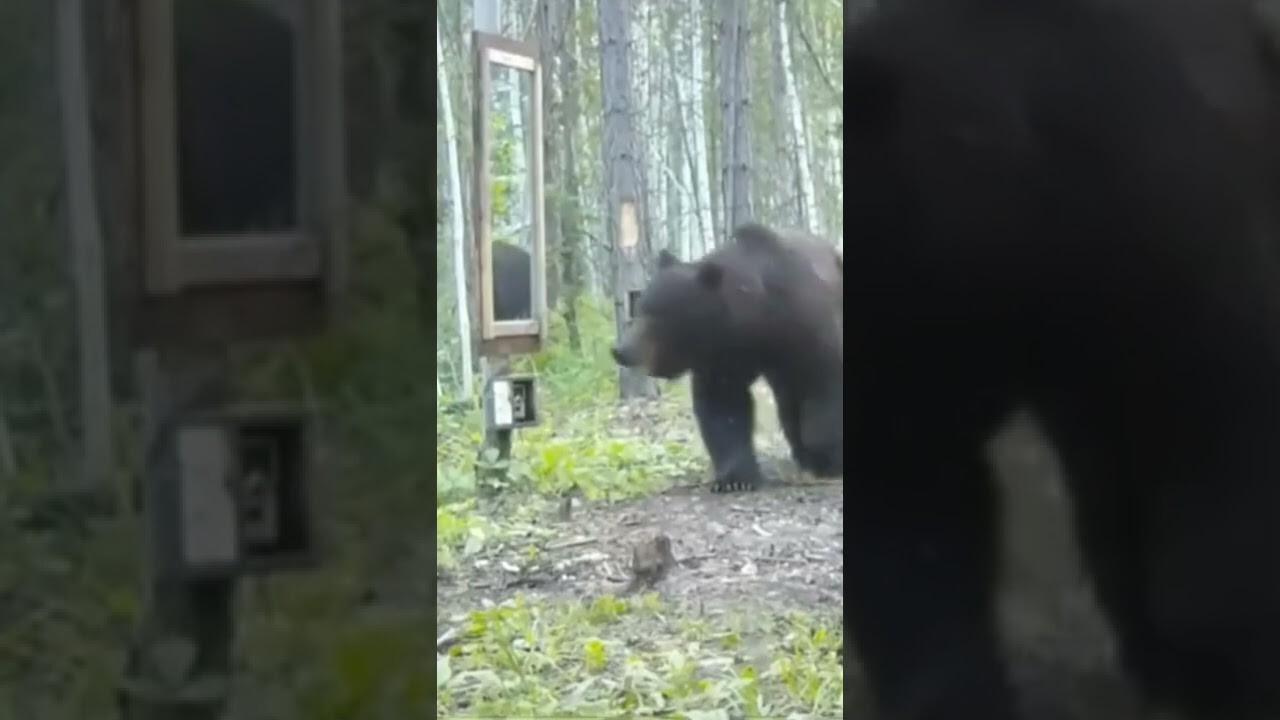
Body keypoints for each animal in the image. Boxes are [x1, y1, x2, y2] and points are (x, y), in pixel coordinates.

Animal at [606, 221, 839, 489]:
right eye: (640, 308)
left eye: (658, 315)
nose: (621, 350)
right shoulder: (722, 357)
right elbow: (724, 406)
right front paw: (735, 477)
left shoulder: (806, 328)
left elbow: (824, 385)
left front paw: (826, 458)